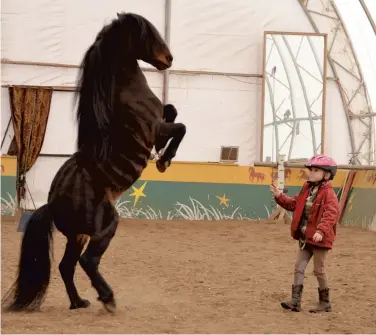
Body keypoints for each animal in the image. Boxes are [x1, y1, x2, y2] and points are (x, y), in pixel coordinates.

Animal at [1, 11, 187, 316]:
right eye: (148, 33)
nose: (168, 59)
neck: (127, 94)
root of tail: (52, 204)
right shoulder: (154, 127)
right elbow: (180, 126)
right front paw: (165, 159)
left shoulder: (160, 122)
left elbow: (172, 111)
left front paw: (161, 155)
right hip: (105, 227)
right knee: (87, 261)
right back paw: (107, 299)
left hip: (77, 236)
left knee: (66, 266)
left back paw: (79, 302)